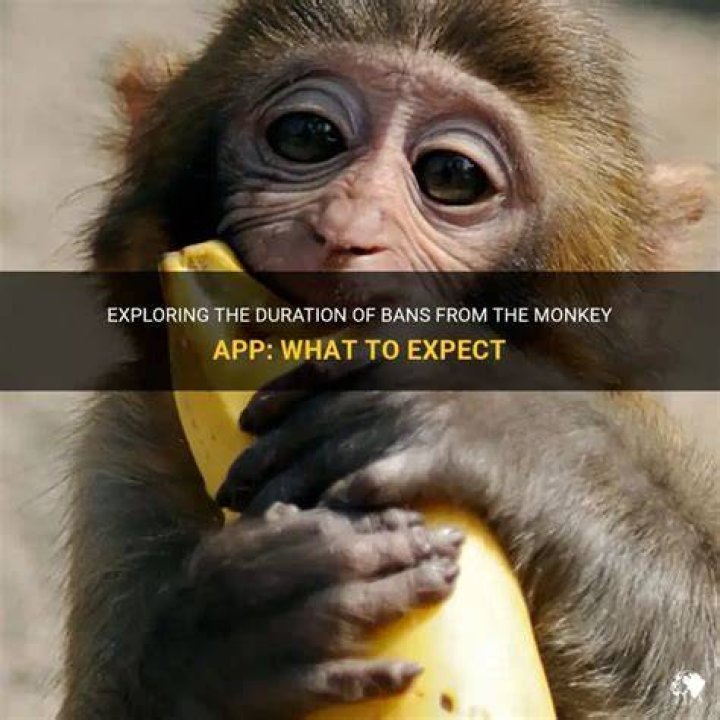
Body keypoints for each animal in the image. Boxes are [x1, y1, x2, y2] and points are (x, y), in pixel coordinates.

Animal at [62, 1, 718, 719]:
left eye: (452, 176)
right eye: (307, 136)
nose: (347, 226)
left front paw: (507, 431)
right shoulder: (126, 447)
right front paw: (223, 634)